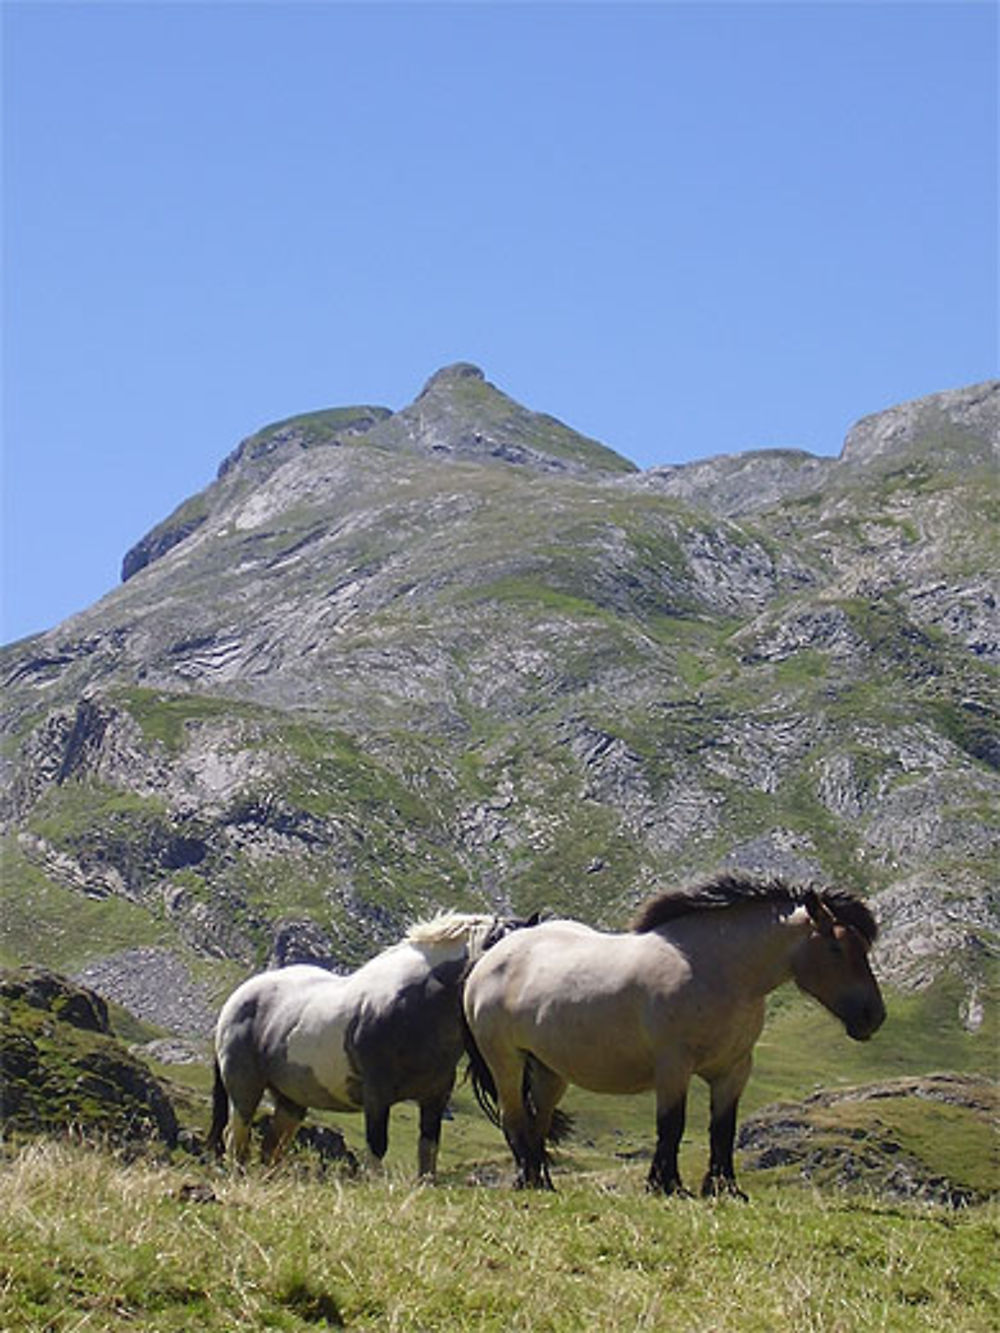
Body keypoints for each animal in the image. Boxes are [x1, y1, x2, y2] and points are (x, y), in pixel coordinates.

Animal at [208, 906, 536, 1178]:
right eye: (505, 959)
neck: (412, 1007)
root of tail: (236, 1001)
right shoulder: (377, 1095)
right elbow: (378, 1144)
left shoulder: (435, 1097)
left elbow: (428, 1149)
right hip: (245, 1089)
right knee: (236, 1139)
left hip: (291, 1102)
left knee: (271, 1147)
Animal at [461, 874, 885, 1199]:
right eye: (835, 946)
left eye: (863, 946)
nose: (874, 1016)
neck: (717, 969)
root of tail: (487, 962)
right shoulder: (673, 1065)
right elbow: (672, 1125)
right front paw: (667, 1186)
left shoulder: (734, 1069)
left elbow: (722, 1130)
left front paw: (725, 1189)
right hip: (506, 1062)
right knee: (515, 1118)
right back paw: (526, 1181)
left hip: (549, 1071)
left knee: (538, 1122)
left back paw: (542, 1182)